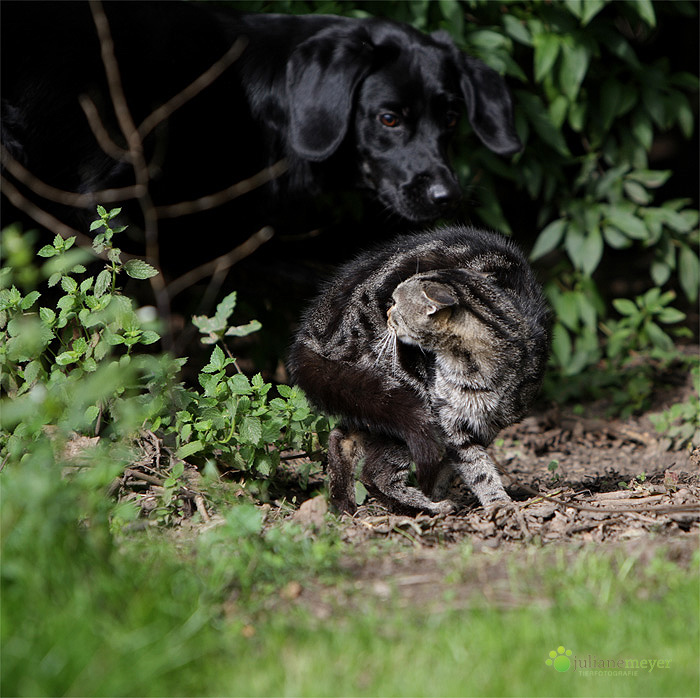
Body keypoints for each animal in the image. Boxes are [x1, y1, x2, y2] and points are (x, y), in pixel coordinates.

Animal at [288, 226, 548, 512]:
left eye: (397, 304)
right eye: (390, 301)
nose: (388, 313)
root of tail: (313, 331)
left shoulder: (490, 424)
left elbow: (456, 466)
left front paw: (445, 491)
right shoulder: (449, 421)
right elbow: (475, 467)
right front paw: (496, 502)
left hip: (367, 394)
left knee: (342, 438)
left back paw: (345, 504)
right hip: (407, 399)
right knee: (376, 473)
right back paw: (427, 507)